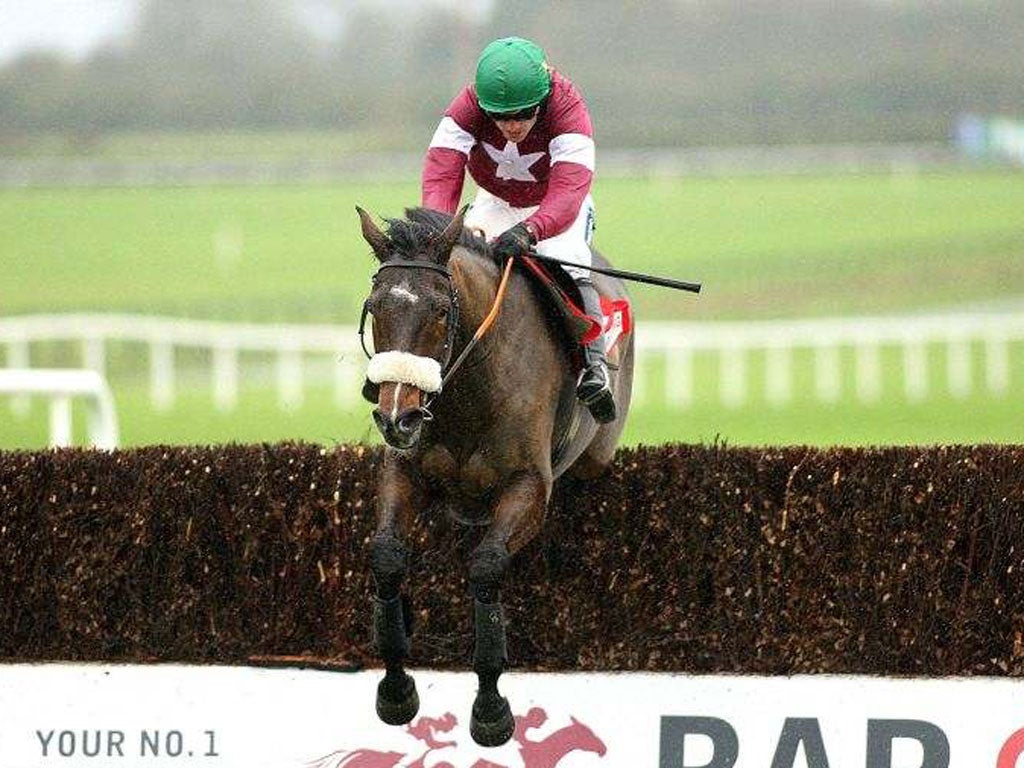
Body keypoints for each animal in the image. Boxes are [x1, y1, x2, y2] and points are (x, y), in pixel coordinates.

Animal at [356, 205, 634, 753]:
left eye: (441, 311)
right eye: (376, 308)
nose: (397, 417)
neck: (471, 388)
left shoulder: (528, 487)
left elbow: (486, 569)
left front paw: (490, 709)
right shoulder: (405, 470)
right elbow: (387, 557)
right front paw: (396, 690)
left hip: (596, 454)